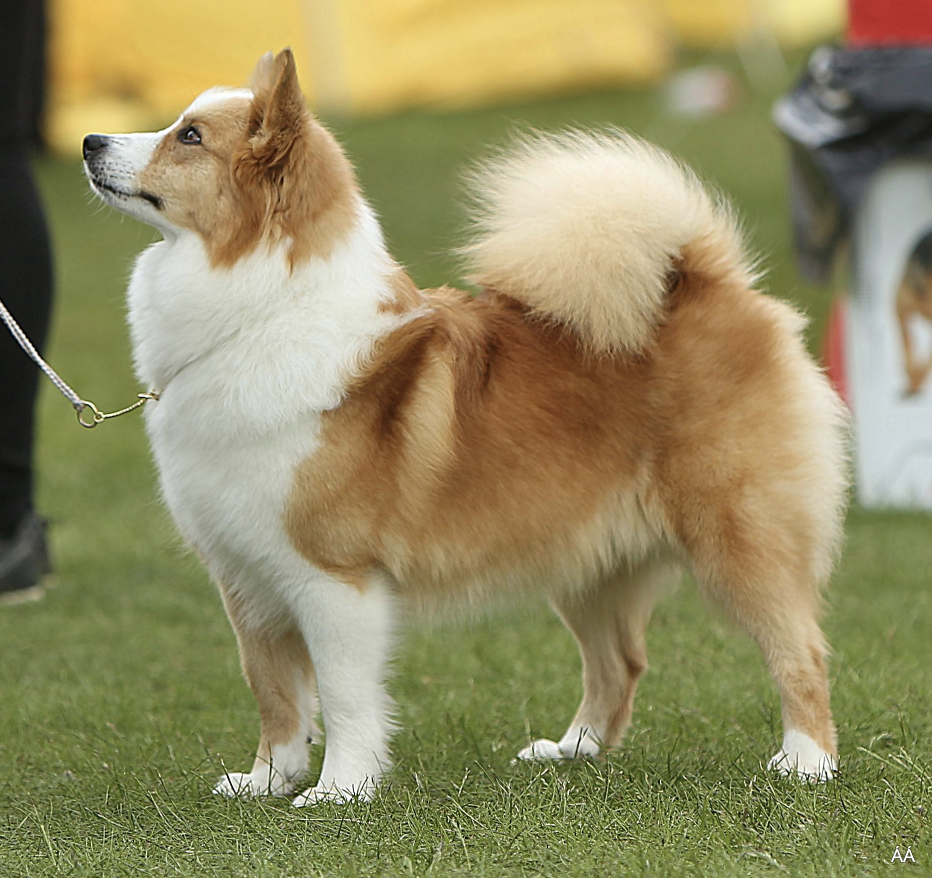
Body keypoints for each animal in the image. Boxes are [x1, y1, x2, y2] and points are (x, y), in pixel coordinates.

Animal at [83, 46, 848, 804]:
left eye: (189, 137)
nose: (90, 141)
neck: (261, 315)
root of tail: (702, 283)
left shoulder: (334, 578)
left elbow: (344, 695)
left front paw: (339, 791)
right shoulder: (246, 574)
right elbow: (273, 690)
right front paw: (268, 779)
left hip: (739, 538)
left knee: (799, 651)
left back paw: (806, 763)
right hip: (589, 561)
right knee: (619, 662)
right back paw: (571, 751)